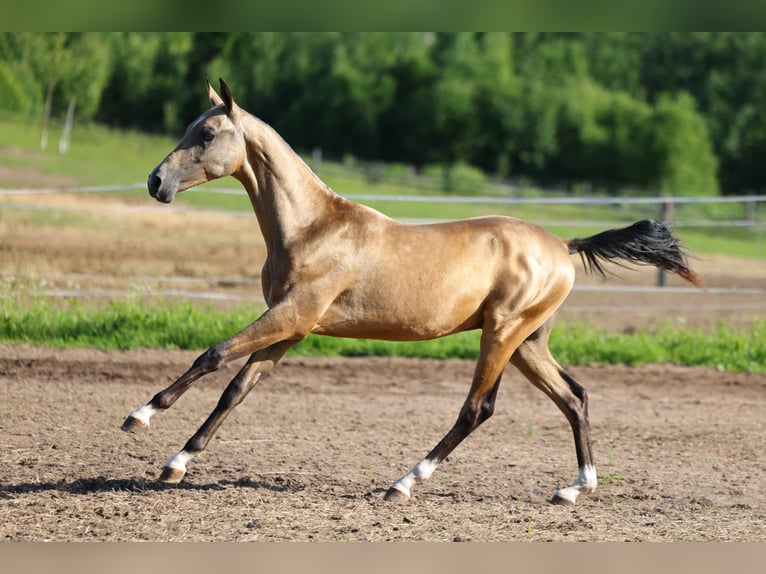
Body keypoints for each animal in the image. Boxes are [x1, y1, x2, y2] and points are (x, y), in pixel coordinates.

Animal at [120, 79, 704, 506]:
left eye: (207, 134)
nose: (155, 182)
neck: (312, 227)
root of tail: (562, 245)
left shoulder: (292, 316)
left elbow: (213, 355)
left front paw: (140, 417)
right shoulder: (292, 327)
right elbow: (236, 389)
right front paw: (175, 464)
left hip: (502, 334)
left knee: (478, 409)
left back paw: (403, 482)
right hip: (528, 343)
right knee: (574, 397)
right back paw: (574, 489)